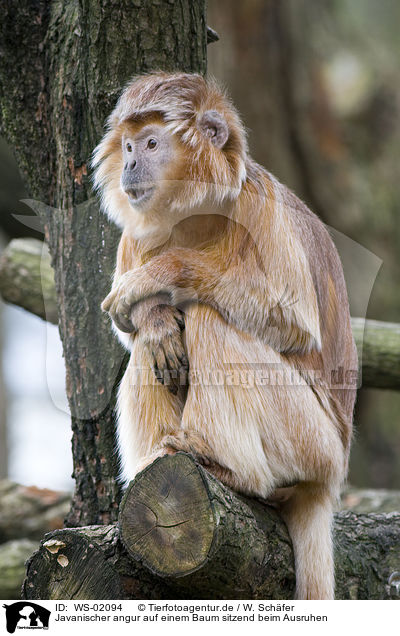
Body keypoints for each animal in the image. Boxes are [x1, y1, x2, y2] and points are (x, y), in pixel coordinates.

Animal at [92, 72, 358, 600]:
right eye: (129, 146)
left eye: (151, 144)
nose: (130, 162)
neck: (197, 212)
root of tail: (332, 478)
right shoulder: (137, 231)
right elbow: (133, 333)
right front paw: (153, 316)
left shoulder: (260, 205)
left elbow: (294, 324)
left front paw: (161, 275)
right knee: (153, 352)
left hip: (312, 442)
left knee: (210, 318)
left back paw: (223, 464)